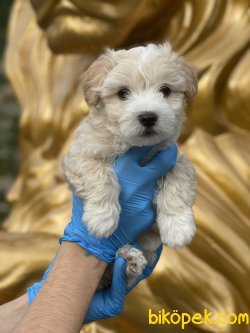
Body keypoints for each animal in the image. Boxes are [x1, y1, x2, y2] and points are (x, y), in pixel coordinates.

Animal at [63, 42, 198, 286]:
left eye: (165, 90)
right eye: (123, 93)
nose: (148, 117)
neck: (134, 146)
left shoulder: (174, 157)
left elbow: (178, 182)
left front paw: (178, 227)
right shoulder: (81, 156)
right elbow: (100, 176)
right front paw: (102, 218)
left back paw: (129, 262)